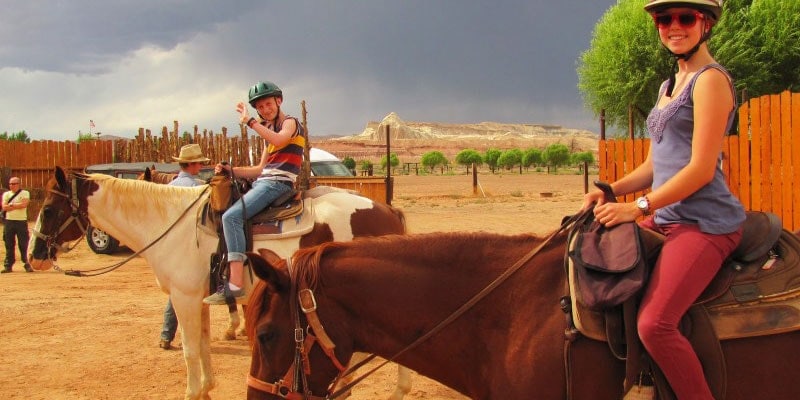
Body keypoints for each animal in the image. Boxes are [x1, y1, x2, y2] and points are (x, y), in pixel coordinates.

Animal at [27, 167, 410, 400]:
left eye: (47, 209)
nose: (33, 255)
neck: (170, 224)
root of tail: (388, 210)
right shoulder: (197, 298)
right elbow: (204, 344)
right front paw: (207, 388)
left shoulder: (182, 297)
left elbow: (189, 349)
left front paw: (191, 392)